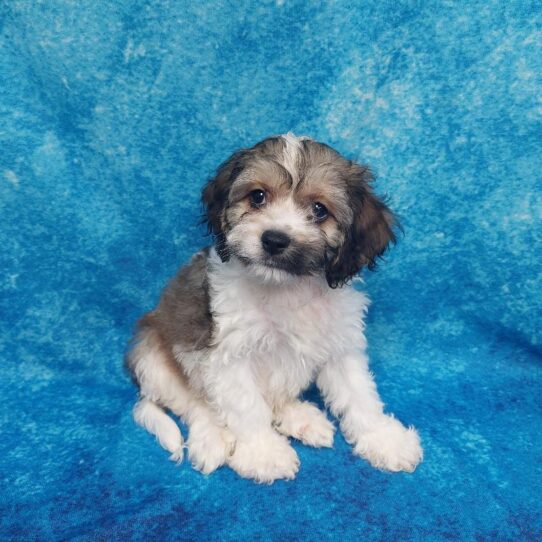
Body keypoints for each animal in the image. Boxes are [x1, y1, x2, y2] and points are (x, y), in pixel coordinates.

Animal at [127, 134, 424, 482]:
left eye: (319, 209)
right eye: (258, 196)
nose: (274, 239)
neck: (286, 288)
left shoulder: (340, 344)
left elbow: (359, 393)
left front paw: (383, 438)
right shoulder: (229, 354)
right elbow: (246, 407)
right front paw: (263, 453)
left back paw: (300, 418)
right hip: (152, 359)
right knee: (195, 404)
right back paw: (211, 440)